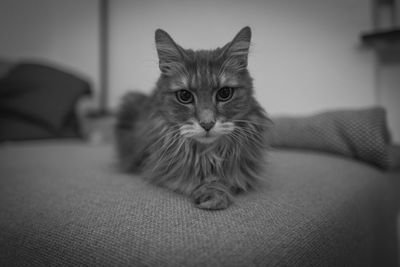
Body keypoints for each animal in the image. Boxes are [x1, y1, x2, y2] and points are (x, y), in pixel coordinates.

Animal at [115, 26, 272, 211]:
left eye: (225, 93)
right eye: (184, 96)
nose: (207, 124)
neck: (207, 153)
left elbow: (230, 177)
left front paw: (216, 191)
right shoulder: (159, 167)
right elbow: (191, 177)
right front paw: (212, 193)